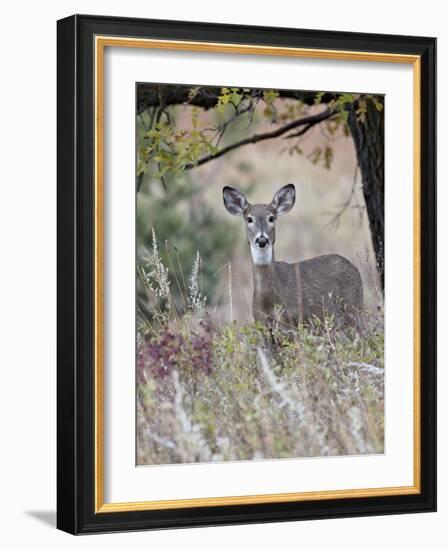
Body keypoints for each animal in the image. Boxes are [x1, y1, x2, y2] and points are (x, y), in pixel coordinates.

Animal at [222, 185, 362, 330]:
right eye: (249, 219)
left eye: (271, 218)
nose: (262, 240)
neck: (268, 303)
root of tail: (355, 268)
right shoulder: (261, 323)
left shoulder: (291, 322)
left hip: (353, 309)